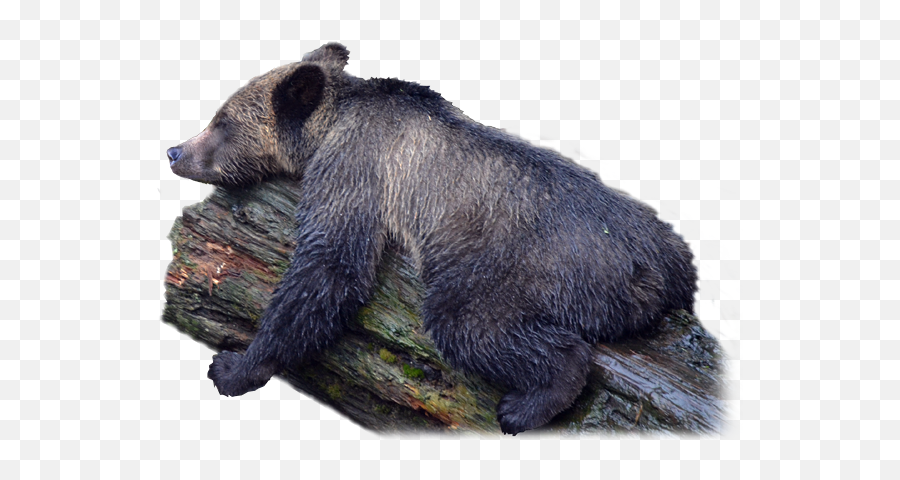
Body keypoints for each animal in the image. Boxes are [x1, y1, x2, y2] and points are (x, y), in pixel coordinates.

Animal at [167, 43, 697, 435]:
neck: (331, 124)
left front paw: (235, 367)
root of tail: (659, 271)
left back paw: (528, 403)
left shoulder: (357, 166)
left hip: (532, 266)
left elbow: (329, 269)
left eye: (222, 120)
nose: (174, 151)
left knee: (469, 321)